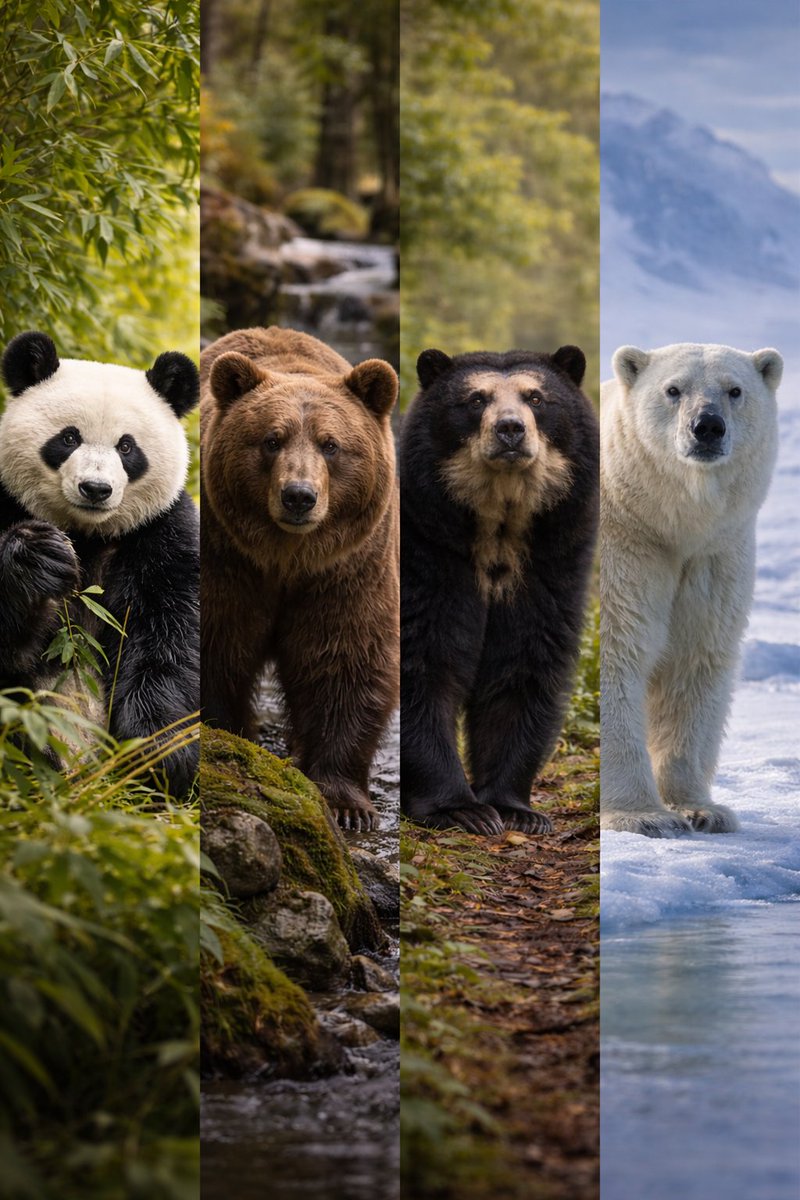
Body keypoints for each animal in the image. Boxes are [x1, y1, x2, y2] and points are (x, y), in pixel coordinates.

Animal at [0, 330, 200, 797]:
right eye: (69, 438)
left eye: (126, 447)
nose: (95, 488)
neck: (88, 535)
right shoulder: (4, 501)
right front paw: (37, 559)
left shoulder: (161, 532)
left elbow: (168, 638)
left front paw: (158, 757)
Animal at [200, 326, 399, 832]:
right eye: (272, 439)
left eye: (331, 444)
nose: (299, 496)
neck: (286, 558)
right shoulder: (227, 561)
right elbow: (217, 644)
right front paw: (226, 738)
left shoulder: (347, 570)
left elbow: (346, 658)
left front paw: (347, 803)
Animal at [400, 345, 599, 835]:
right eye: (475, 400)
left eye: (536, 398)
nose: (510, 428)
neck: (498, 525)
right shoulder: (426, 551)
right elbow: (422, 660)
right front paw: (460, 809)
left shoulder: (551, 562)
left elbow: (524, 664)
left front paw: (514, 808)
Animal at [600, 342, 783, 838]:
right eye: (673, 389)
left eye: (735, 390)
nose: (708, 427)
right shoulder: (629, 544)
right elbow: (619, 651)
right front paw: (643, 816)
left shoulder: (714, 555)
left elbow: (695, 659)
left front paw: (701, 810)